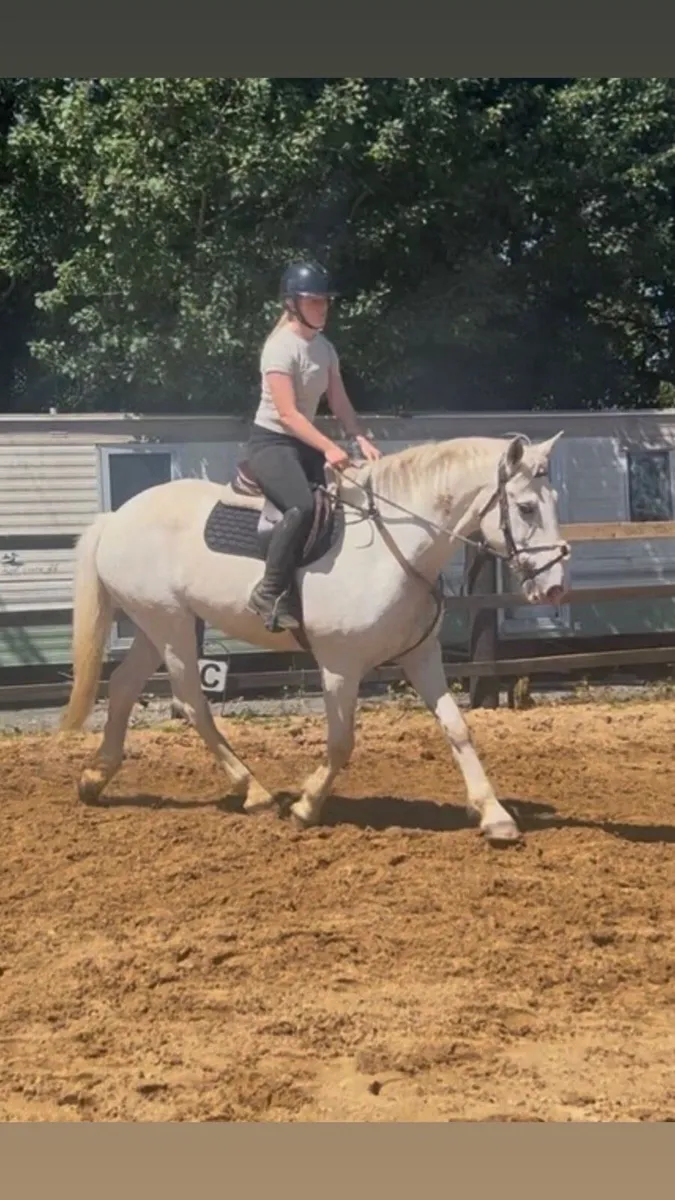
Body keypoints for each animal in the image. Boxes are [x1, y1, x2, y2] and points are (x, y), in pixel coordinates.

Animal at [59, 431, 569, 848]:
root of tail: (116, 516)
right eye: (526, 507)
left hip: (155, 625)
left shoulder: (420, 656)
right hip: (170, 625)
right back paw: (254, 791)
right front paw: (307, 806)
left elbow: (457, 728)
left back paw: (95, 777)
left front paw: (495, 815)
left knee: (124, 687)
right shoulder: (341, 666)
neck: (396, 549)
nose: (554, 587)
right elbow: (342, 741)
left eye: (553, 501)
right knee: (190, 702)